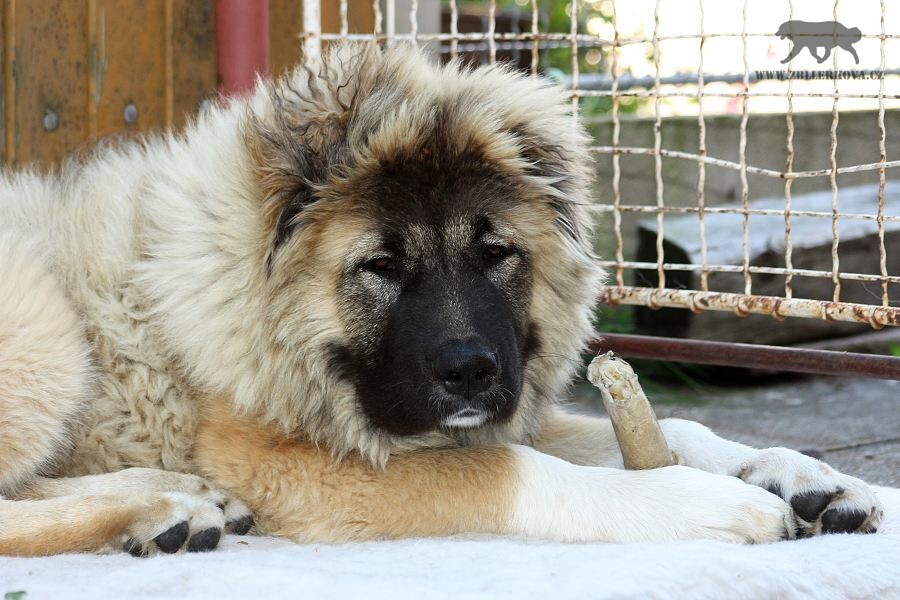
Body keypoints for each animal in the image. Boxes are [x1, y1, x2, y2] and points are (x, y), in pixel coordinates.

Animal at [0, 43, 882, 556]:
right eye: (381, 266)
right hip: (48, 333)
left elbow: (669, 428)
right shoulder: (295, 462)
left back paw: (172, 501)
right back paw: (157, 509)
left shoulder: (474, 410)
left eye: (495, 254)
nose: (469, 371)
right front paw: (710, 501)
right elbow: (509, 470)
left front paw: (803, 476)